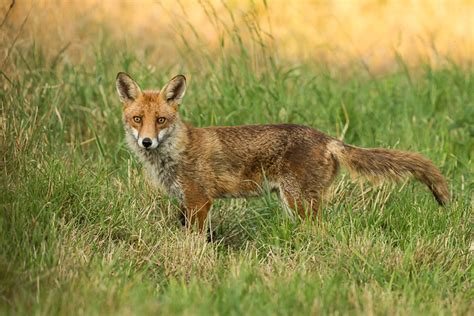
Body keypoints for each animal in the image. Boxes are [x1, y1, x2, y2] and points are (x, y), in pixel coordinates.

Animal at [115, 73, 448, 232]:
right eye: (137, 119)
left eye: (161, 120)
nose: (147, 142)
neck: (175, 153)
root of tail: (327, 138)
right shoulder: (186, 203)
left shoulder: (200, 201)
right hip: (294, 203)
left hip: (298, 202)